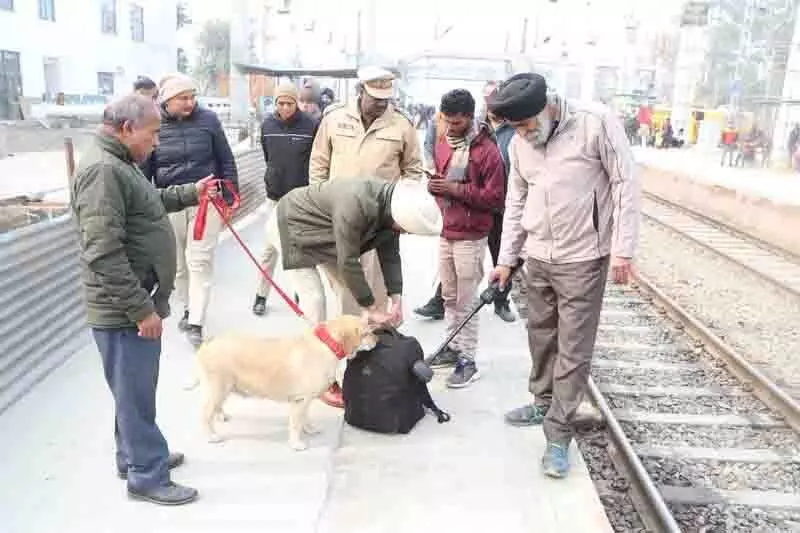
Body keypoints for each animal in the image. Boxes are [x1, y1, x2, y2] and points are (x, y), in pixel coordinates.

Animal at [197, 314, 378, 450]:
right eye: (366, 333)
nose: (377, 341)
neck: (327, 345)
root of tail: (209, 342)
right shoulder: (300, 400)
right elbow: (296, 423)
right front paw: (296, 443)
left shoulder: (305, 400)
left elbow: (306, 418)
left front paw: (310, 429)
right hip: (219, 388)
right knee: (205, 414)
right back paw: (211, 435)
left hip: (223, 389)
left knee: (216, 407)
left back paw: (221, 416)